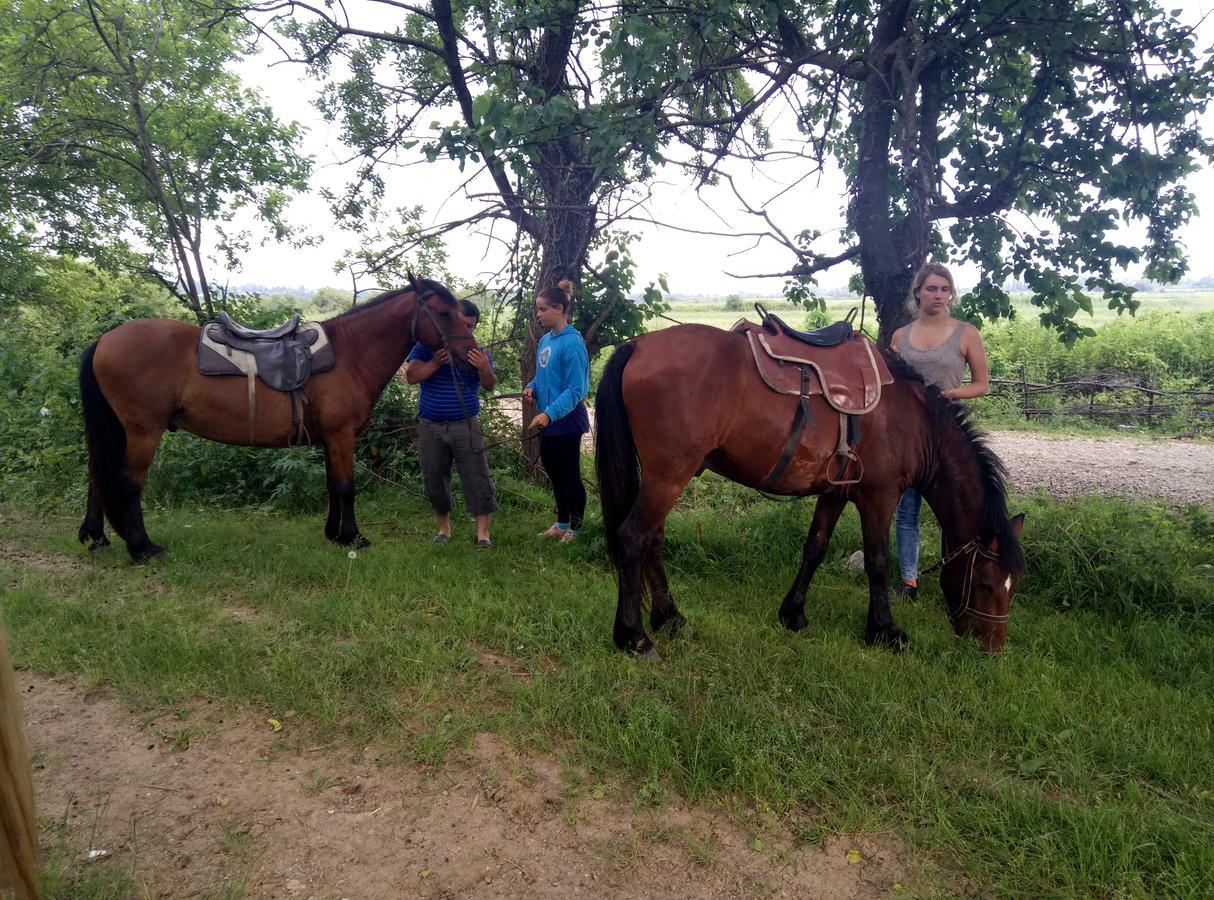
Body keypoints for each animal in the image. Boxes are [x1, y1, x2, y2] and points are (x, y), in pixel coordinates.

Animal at [78, 273, 475, 558]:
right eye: (443, 313)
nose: (469, 353)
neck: (350, 355)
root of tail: (104, 340)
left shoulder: (329, 439)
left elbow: (332, 486)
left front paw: (334, 535)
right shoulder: (342, 435)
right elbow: (346, 488)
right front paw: (354, 538)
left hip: (117, 429)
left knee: (97, 475)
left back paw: (98, 538)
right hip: (143, 430)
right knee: (128, 482)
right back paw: (142, 548)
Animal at [594, 325, 1024, 655]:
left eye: (1013, 585)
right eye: (987, 583)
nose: (992, 648)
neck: (916, 422)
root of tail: (639, 345)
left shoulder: (835, 492)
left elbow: (814, 548)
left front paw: (794, 614)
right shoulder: (880, 496)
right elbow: (878, 562)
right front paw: (884, 631)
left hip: (665, 478)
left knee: (652, 541)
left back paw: (671, 618)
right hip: (668, 476)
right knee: (633, 538)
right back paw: (634, 637)